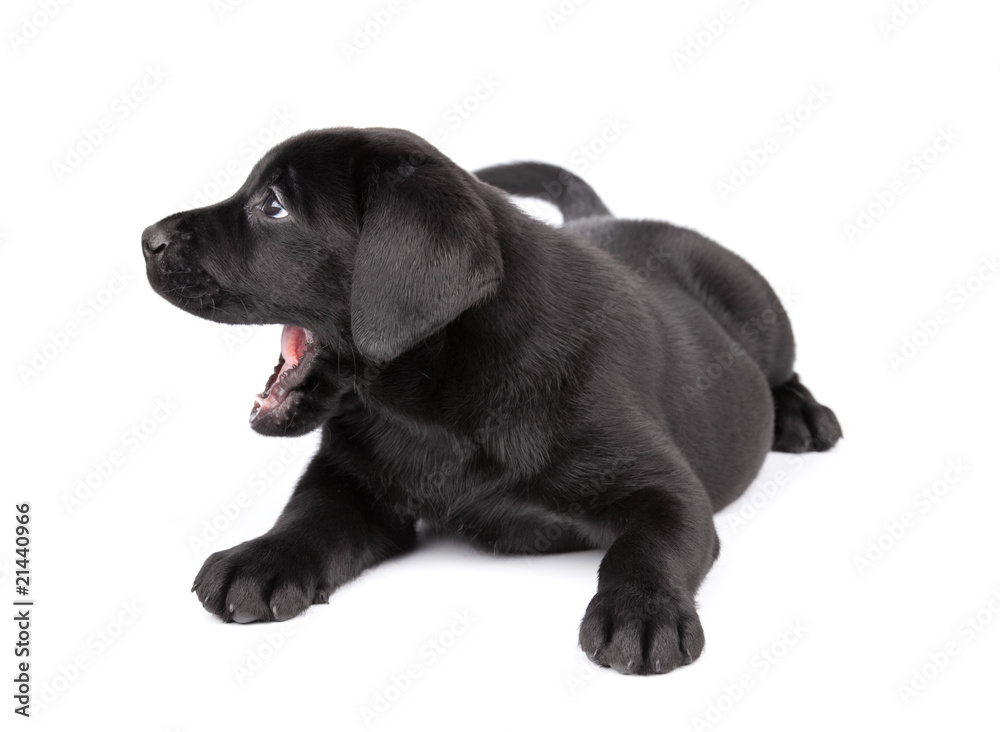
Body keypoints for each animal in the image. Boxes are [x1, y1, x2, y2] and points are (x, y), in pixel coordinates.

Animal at [143, 127, 844, 676]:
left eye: (274, 206)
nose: (147, 237)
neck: (432, 407)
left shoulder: (669, 490)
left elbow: (649, 545)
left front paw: (640, 613)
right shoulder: (352, 476)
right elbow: (307, 513)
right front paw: (262, 558)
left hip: (762, 313)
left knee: (783, 371)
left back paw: (804, 417)